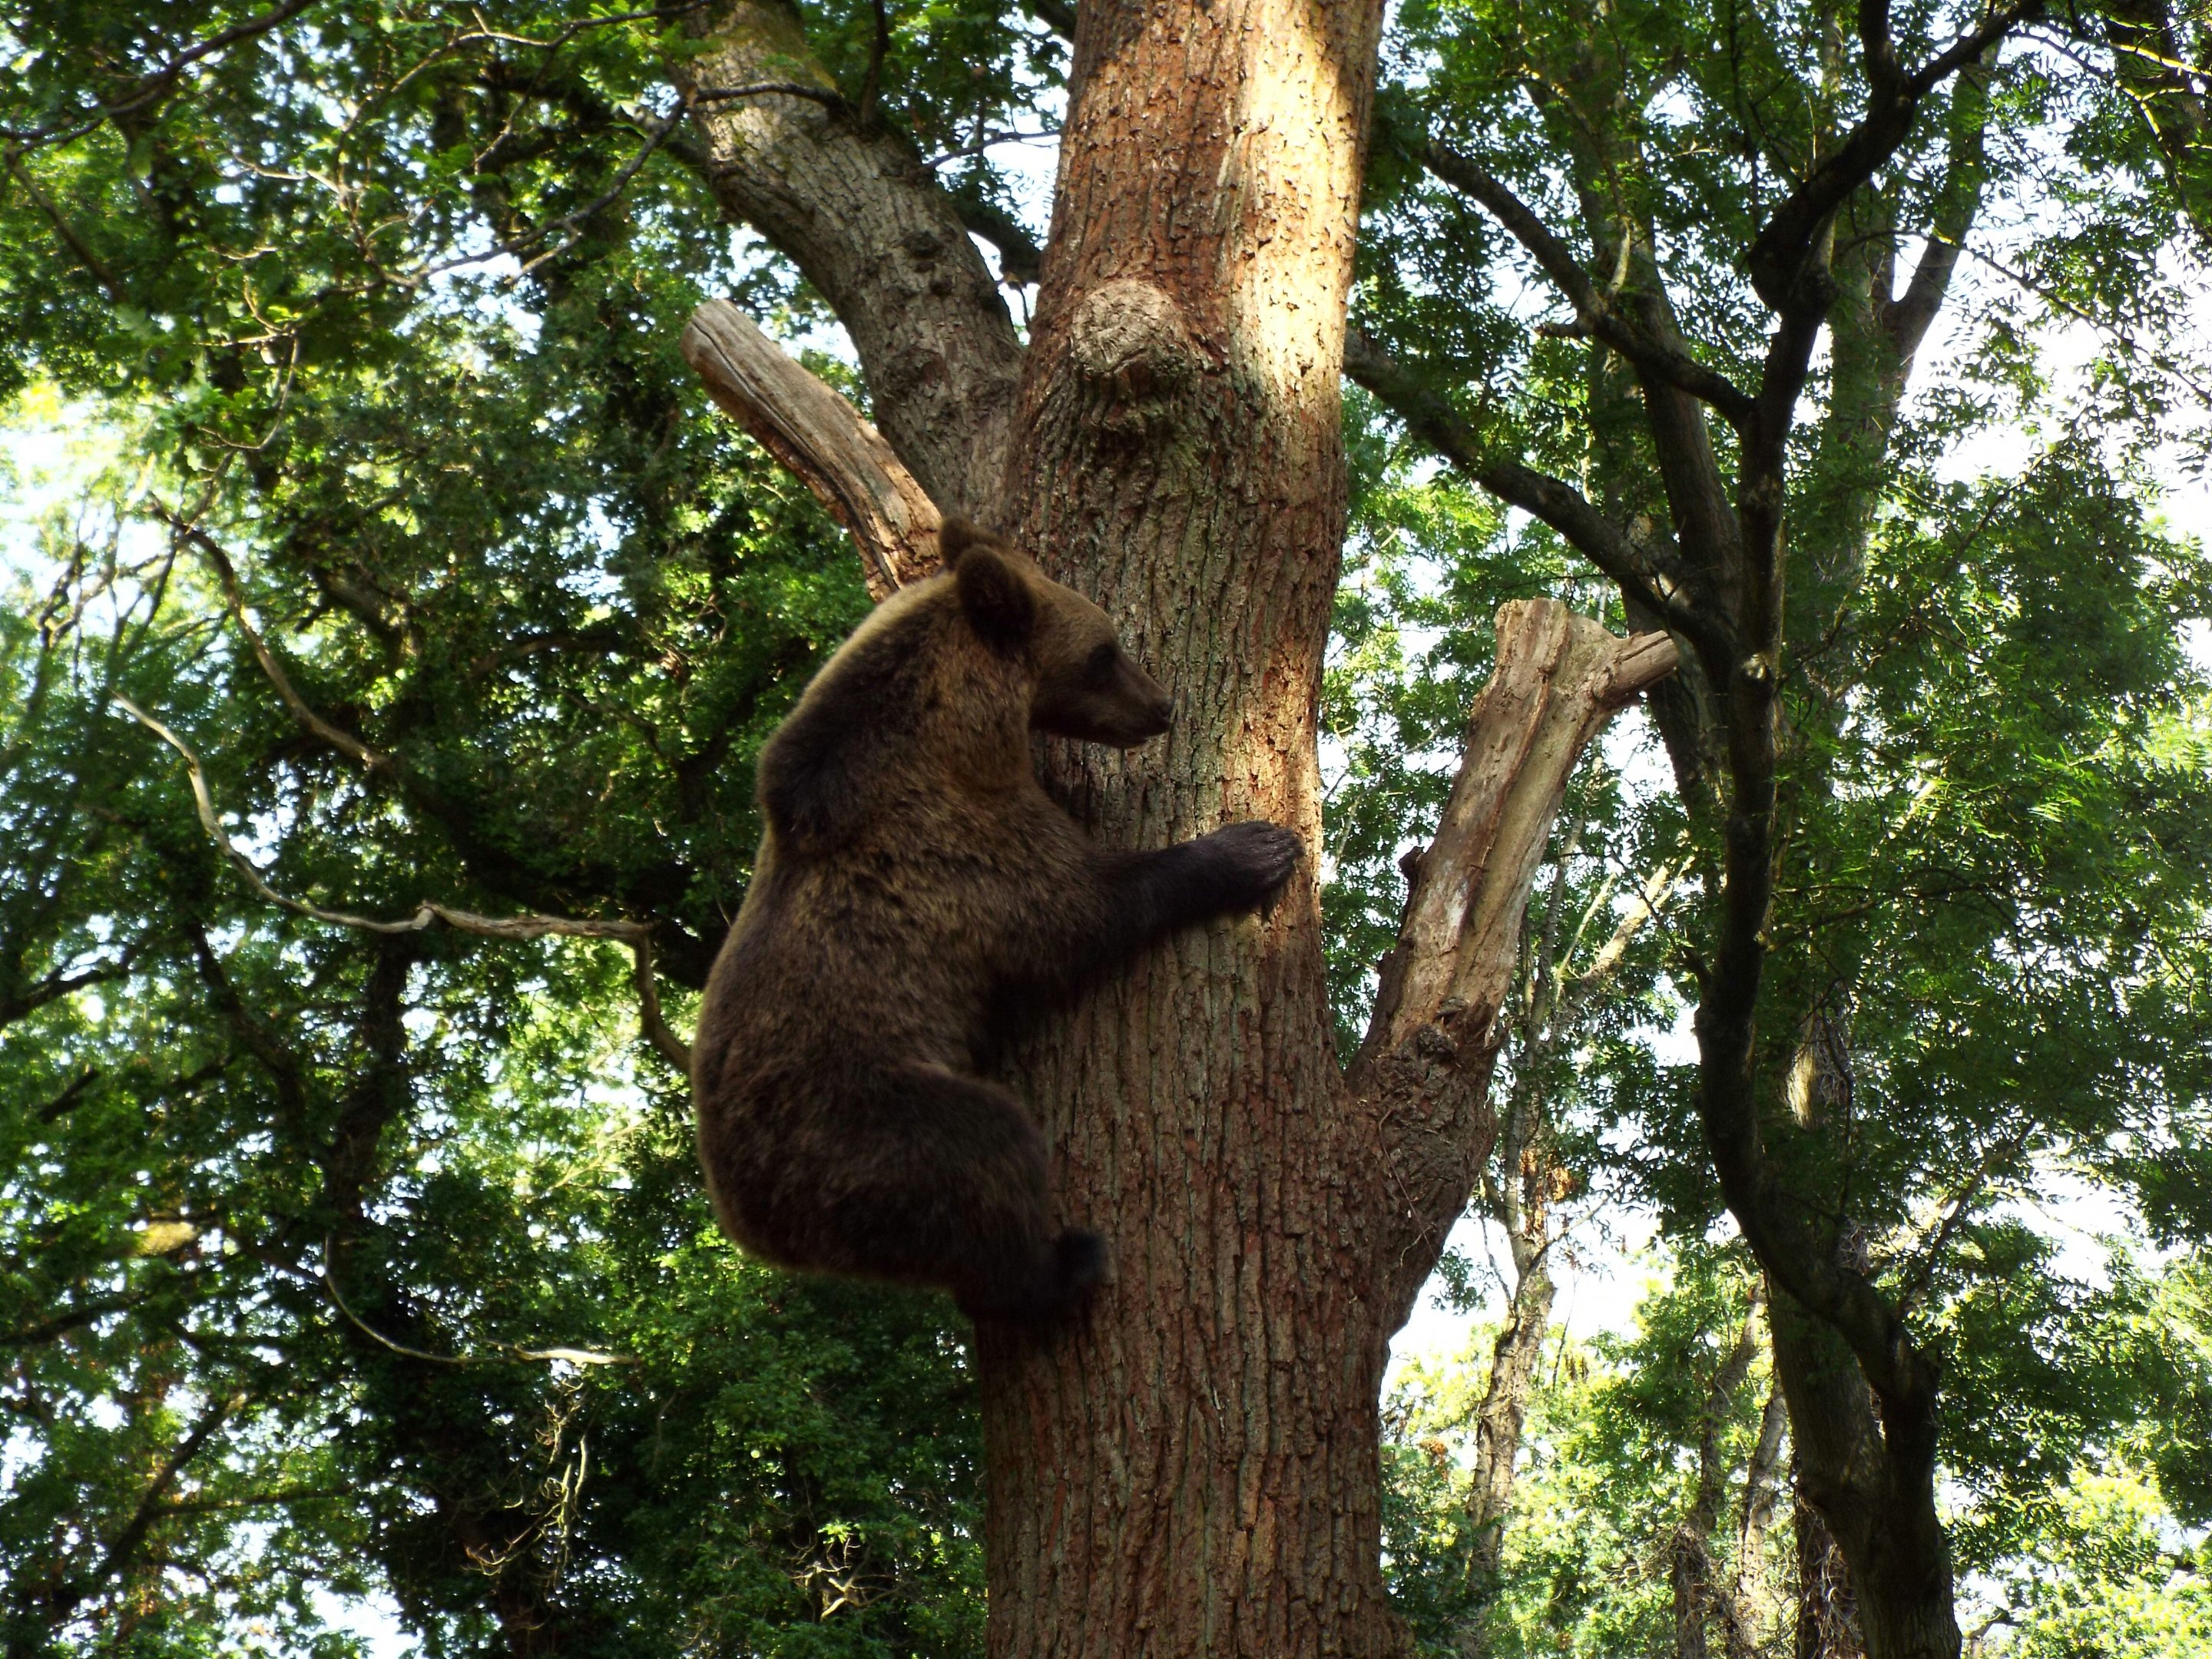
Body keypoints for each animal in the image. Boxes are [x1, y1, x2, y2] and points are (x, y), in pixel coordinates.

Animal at [689, 517, 1303, 1321]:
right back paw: (1065, 1264)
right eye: (1104, 652)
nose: (1164, 706)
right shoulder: (963, 849)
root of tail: (747, 1219)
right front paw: (1254, 849)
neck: (959, 734)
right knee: (984, 1151)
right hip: (857, 1121)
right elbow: (1080, 911)